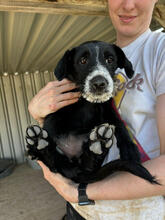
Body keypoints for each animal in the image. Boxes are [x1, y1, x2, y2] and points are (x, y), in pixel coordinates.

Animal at [25, 40, 157, 184]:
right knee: (54, 163)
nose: (99, 83)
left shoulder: (108, 109)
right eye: (83, 61)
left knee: (88, 163)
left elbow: (120, 124)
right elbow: (54, 118)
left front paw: (129, 150)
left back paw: (98, 143)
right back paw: (39, 143)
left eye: (110, 60)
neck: (88, 102)